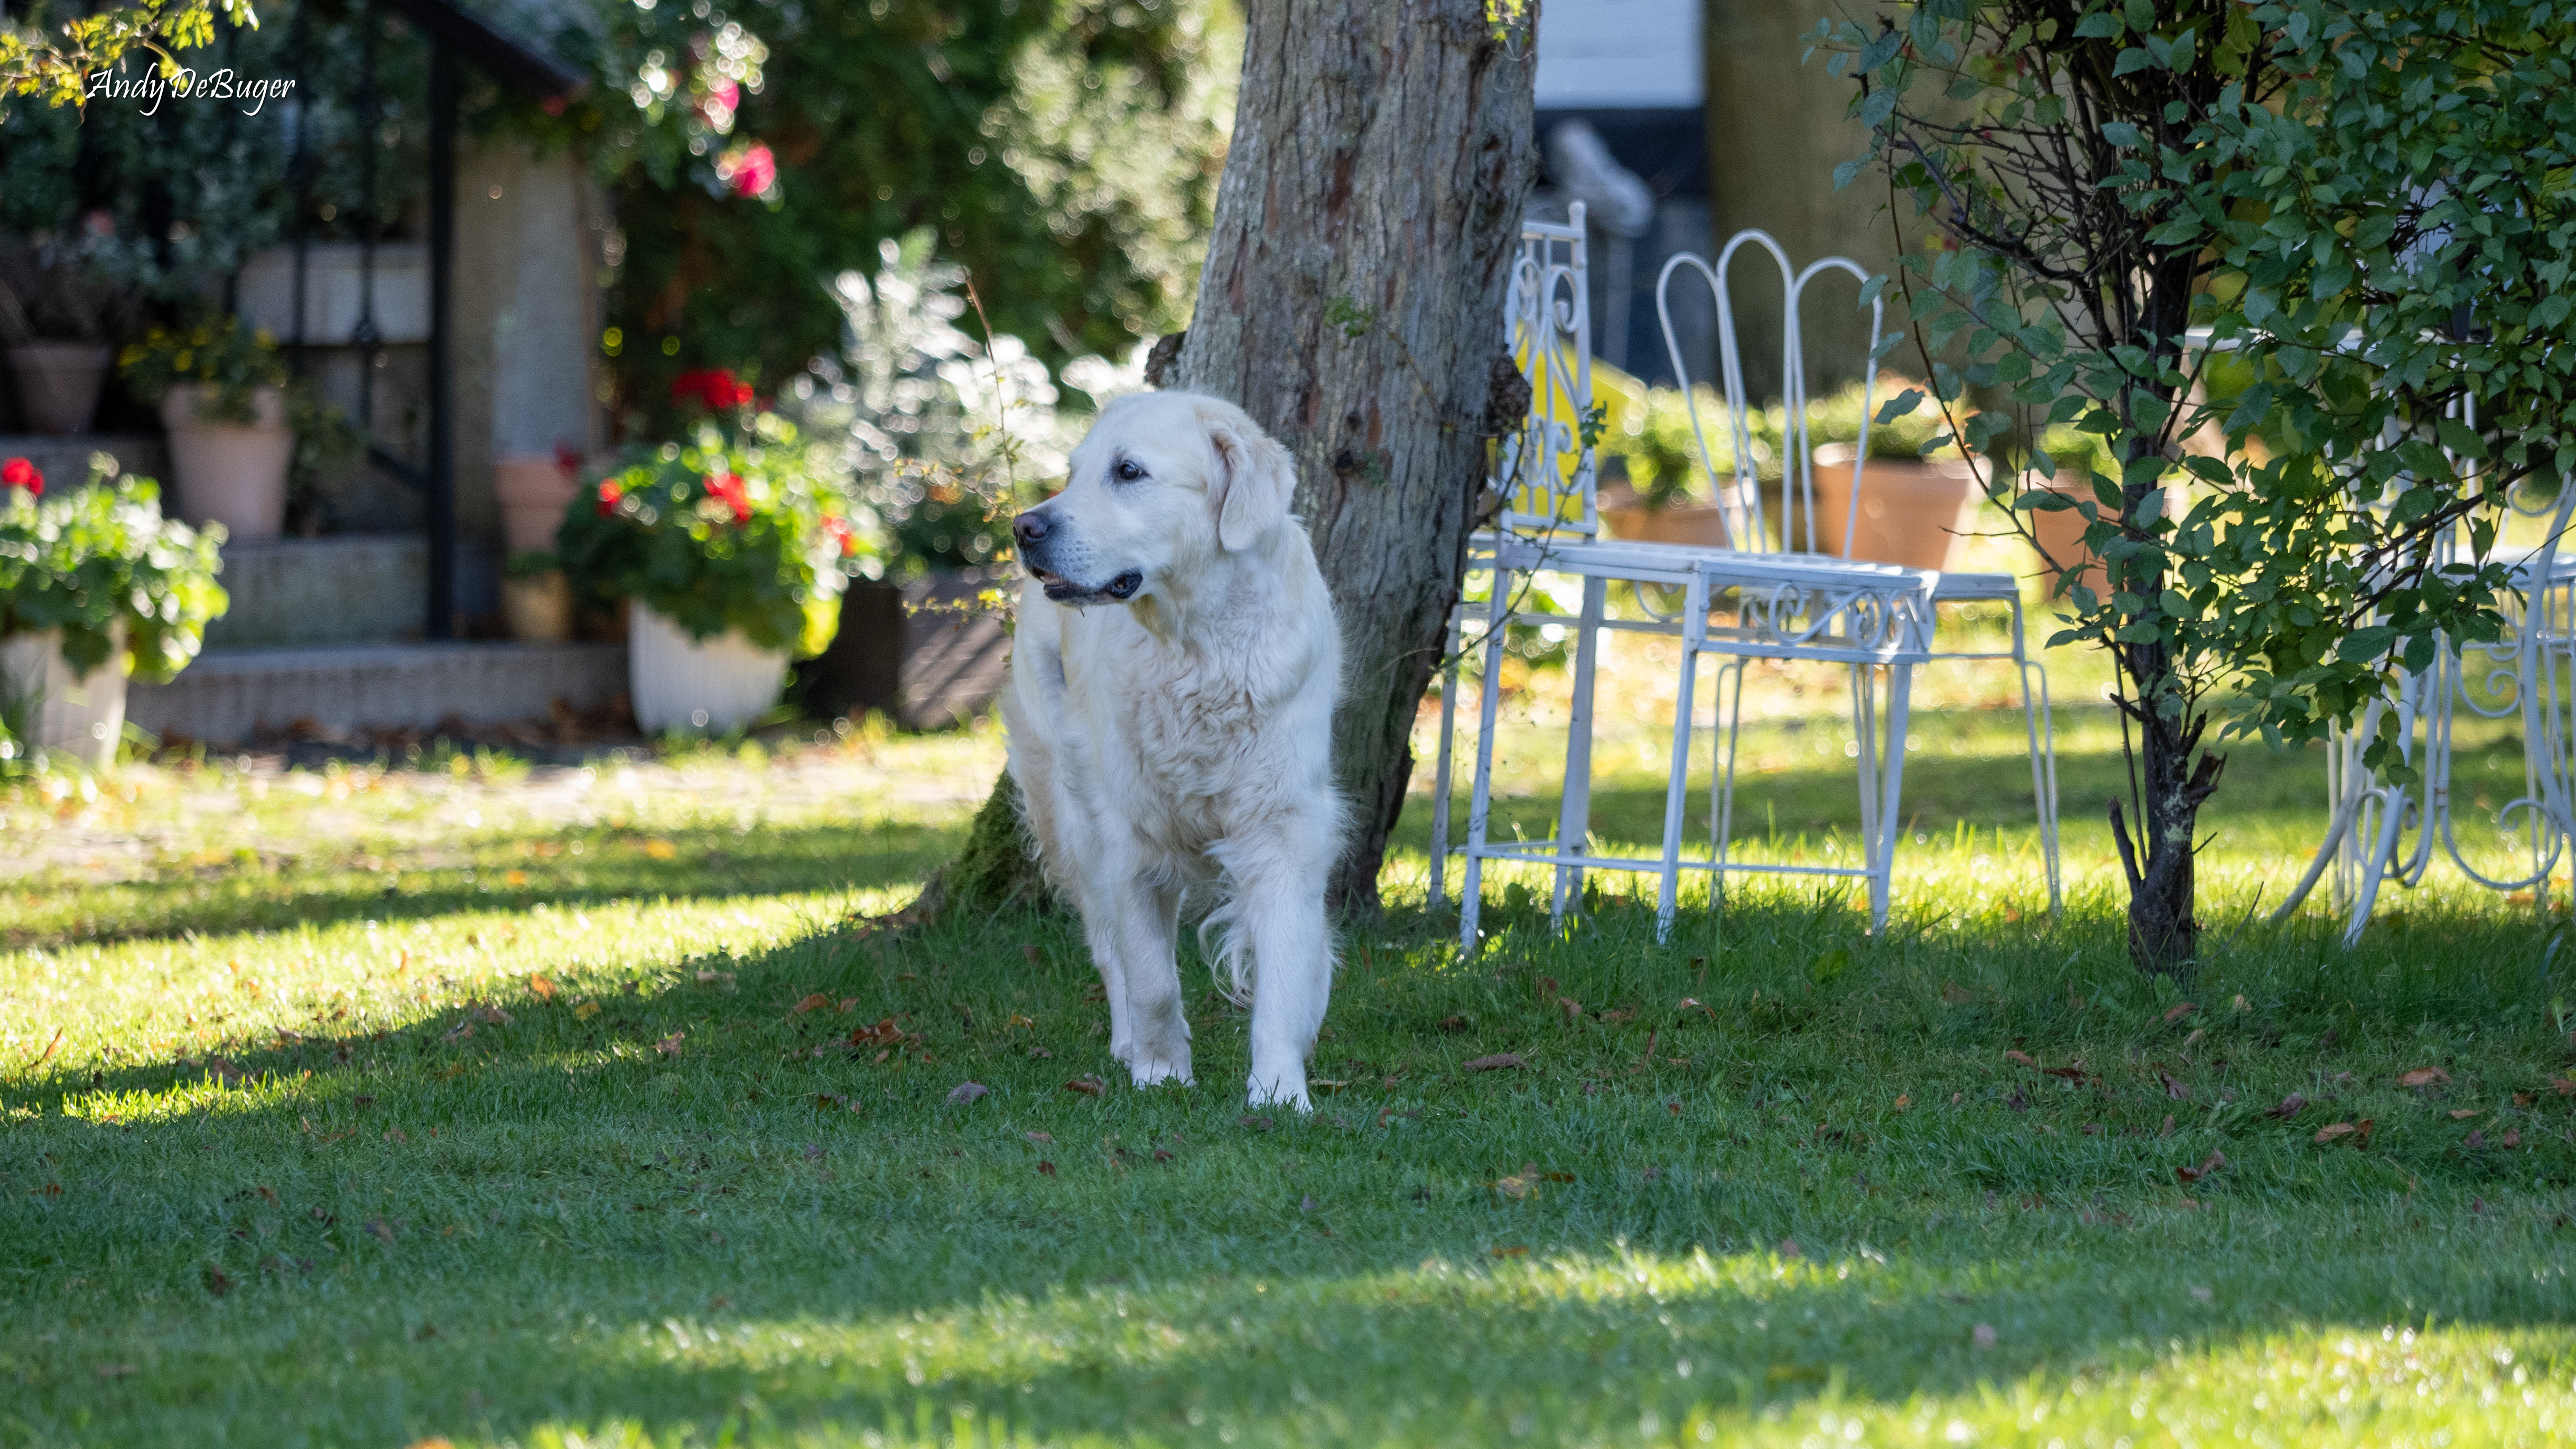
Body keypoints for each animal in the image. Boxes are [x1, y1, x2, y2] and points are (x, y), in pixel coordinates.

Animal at [999, 386, 1350, 1103]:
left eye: (1129, 471)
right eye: (1073, 473)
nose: (1025, 528)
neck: (1199, 650)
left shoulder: (1284, 828)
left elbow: (1284, 971)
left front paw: (1281, 1091)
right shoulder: (1131, 838)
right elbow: (1152, 979)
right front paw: (1161, 1073)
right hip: (1070, 814)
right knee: (1108, 947)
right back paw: (1126, 1042)